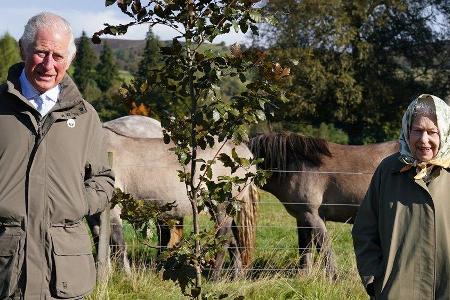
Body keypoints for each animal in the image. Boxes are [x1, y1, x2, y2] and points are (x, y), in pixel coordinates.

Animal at [248, 132, 400, 278]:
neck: (296, 166)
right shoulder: (302, 217)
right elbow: (305, 248)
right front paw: (304, 276)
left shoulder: (313, 216)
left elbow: (324, 248)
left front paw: (333, 277)